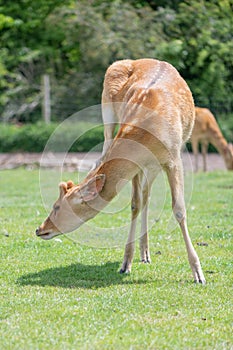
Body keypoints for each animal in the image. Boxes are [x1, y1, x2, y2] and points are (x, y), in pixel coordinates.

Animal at [36, 58, 206, 284]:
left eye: (56, 207)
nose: (40, 229)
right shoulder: (137, 165)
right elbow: (134, 204)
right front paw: (125, 264)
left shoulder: (173, 158)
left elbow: (178, 209)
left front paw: (198, 273)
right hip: (107, 111)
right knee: (115, 163)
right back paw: (143, 253)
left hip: (153, 164)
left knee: (147, 194)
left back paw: (146, 253)